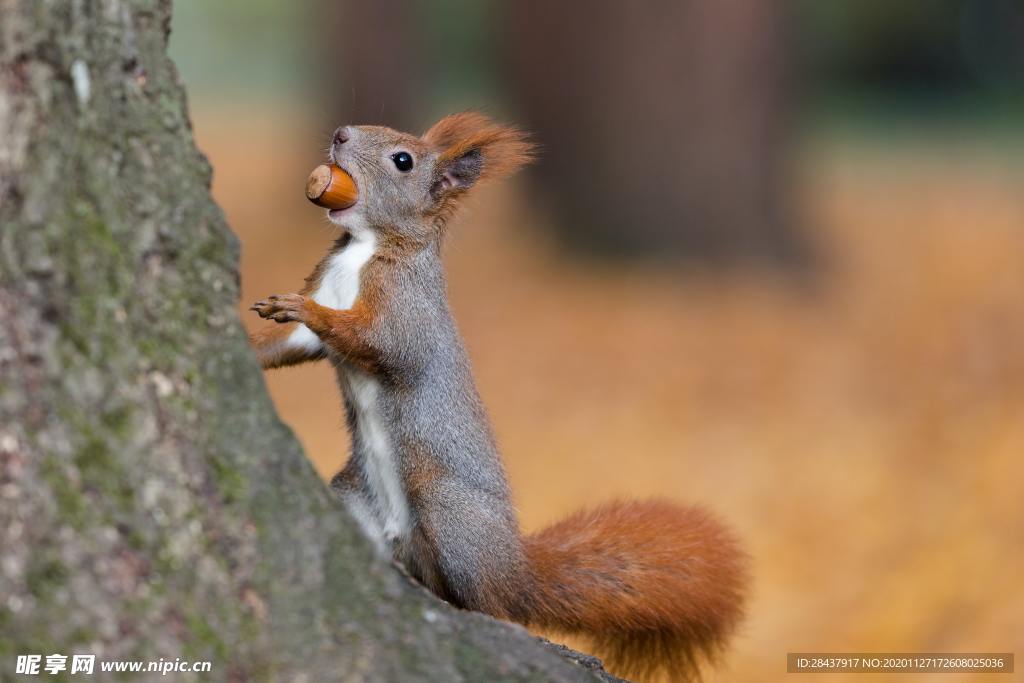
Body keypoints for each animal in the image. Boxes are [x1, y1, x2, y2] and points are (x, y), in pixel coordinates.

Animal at [245, 112, 745, 679]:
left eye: (403, 161)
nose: (341, 134)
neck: (361, 248)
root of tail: (513, 571)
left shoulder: (407, 311)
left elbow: (376, 343)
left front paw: (302, 308)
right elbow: (291, 345)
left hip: (448, 511)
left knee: (492, 604)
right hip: (354, 499)